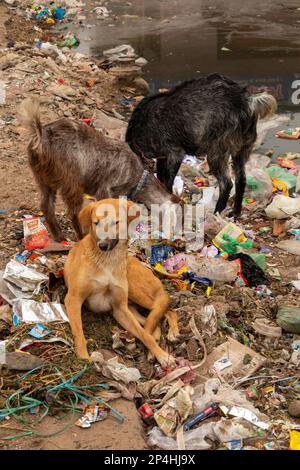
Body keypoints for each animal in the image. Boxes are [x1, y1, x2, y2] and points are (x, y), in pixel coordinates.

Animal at [63, 198, 178, 368]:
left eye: (115, 222)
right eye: (96, 223)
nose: (102, 245)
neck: (108, 260)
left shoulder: (120, 308)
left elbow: (144, 335)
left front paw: (163, 356)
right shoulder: (74, 299)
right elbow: (79, 331)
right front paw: (83, 358)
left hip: (134, 290)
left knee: (167, 308)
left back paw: (172, 332)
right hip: (132, 307)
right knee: (154, 320)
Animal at [126, 74, 276, 218]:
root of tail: (246, 99)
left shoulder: (174, 154)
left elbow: (167, 182)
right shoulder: (162, 157)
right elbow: (162, 179)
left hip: (217, 153)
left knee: (227, 184)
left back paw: (217, 212)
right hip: (241, 150)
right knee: (241, 180)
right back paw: (236, 212)